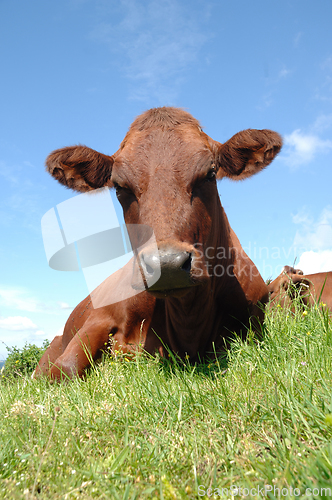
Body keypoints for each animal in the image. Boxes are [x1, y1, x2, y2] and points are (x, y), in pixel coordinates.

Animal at [35, 106, 282, 378]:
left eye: (210, 174)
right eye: (119, 187)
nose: (168, 264)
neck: (188, 321)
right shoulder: (100, 318)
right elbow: (65, 368)